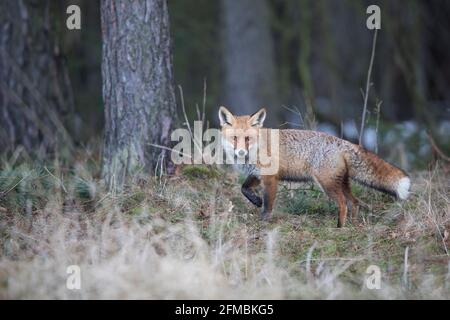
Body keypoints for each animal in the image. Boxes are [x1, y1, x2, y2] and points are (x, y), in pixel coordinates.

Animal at [218, 106, 412, 226]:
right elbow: (244, 189)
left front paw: (263, 220)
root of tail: (342, 141)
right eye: (234, 138)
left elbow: (268, 205)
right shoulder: (257, 175)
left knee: (344, 203)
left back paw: (339, 226)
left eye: (248, 139)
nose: (240, 152)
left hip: (327, 184)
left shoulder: (271, 178)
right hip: (341, 182)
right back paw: (354, 224)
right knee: (354, 202)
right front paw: (256, 201)